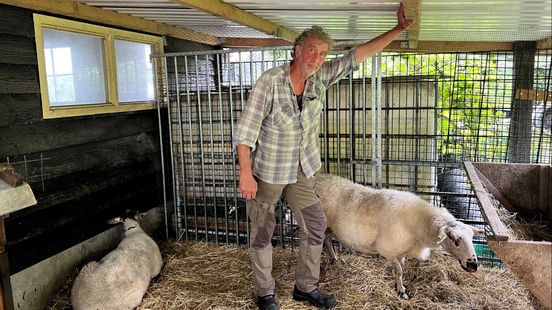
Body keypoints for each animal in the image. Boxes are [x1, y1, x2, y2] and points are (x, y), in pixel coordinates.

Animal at [314, 173, 484, 300]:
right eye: (454, 239)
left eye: (472, 238)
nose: (473, 265)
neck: (419, 225)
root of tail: (318, 178)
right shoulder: (389, 250)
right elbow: (399, 271)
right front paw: (402, 292)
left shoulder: (402, 251)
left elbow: (402, 267)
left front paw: (399, 286)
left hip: (330, 228)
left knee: (327, 239)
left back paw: (335, 259)